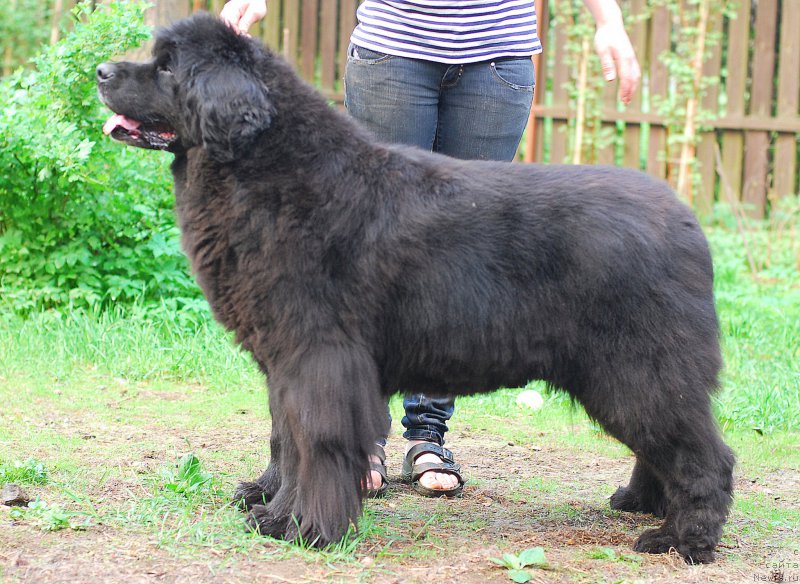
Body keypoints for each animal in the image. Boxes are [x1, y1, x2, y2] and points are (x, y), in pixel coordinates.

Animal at [97, 12, 736, 560]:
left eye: (167, 67)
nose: (102, 72)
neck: (269, 168)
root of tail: (687, 221)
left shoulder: (319, 358)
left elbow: (314, 442)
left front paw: (305, 528)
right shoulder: (285, 361)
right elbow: (285, 437)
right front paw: (269, 507)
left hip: (639, 367)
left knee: (705, 454)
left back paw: (682, 538)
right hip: (624, 373)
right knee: (664, 444)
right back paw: (641, 504)